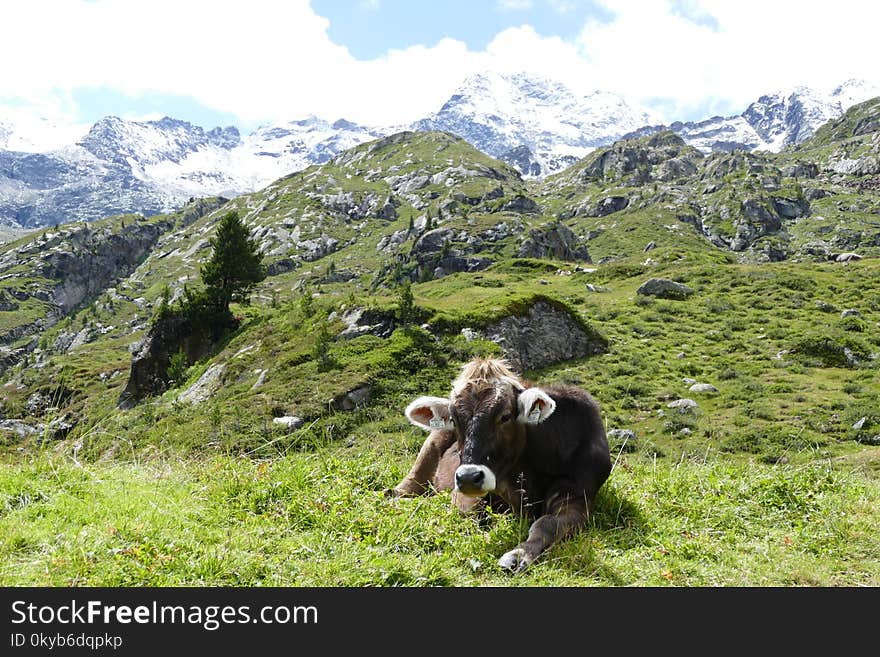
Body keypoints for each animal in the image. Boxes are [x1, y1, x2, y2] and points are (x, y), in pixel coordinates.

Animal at [388, 356, 608, 572]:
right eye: (454, 420)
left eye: (505, 416)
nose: (469, 477)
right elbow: (468, 515)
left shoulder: (578, 496)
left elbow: (546, 524)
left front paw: (518, 555)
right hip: (429, 449)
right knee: (403, 489)